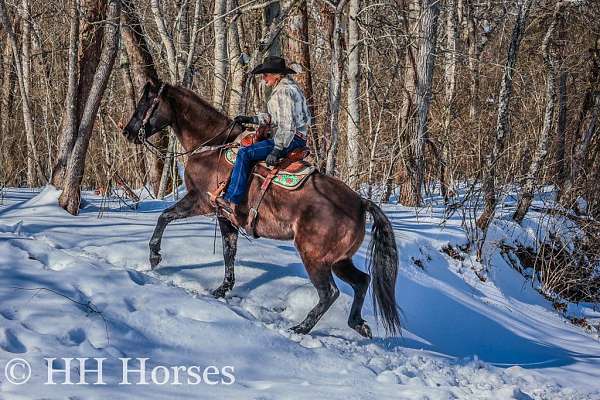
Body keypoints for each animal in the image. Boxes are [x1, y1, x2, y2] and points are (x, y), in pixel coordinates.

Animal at [122, 79, 400, 338]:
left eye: (146, 102)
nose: (128, 131)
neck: (212, 144)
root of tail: (360, 203)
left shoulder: (201, 201)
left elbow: (164, 216)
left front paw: (154, 256)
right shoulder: (226, 217)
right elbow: (229, 252)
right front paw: (222, 289)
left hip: (315, 258)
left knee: (329, 293)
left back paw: (301, 328)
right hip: (340, 261)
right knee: (362, 281)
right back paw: (358, 324)